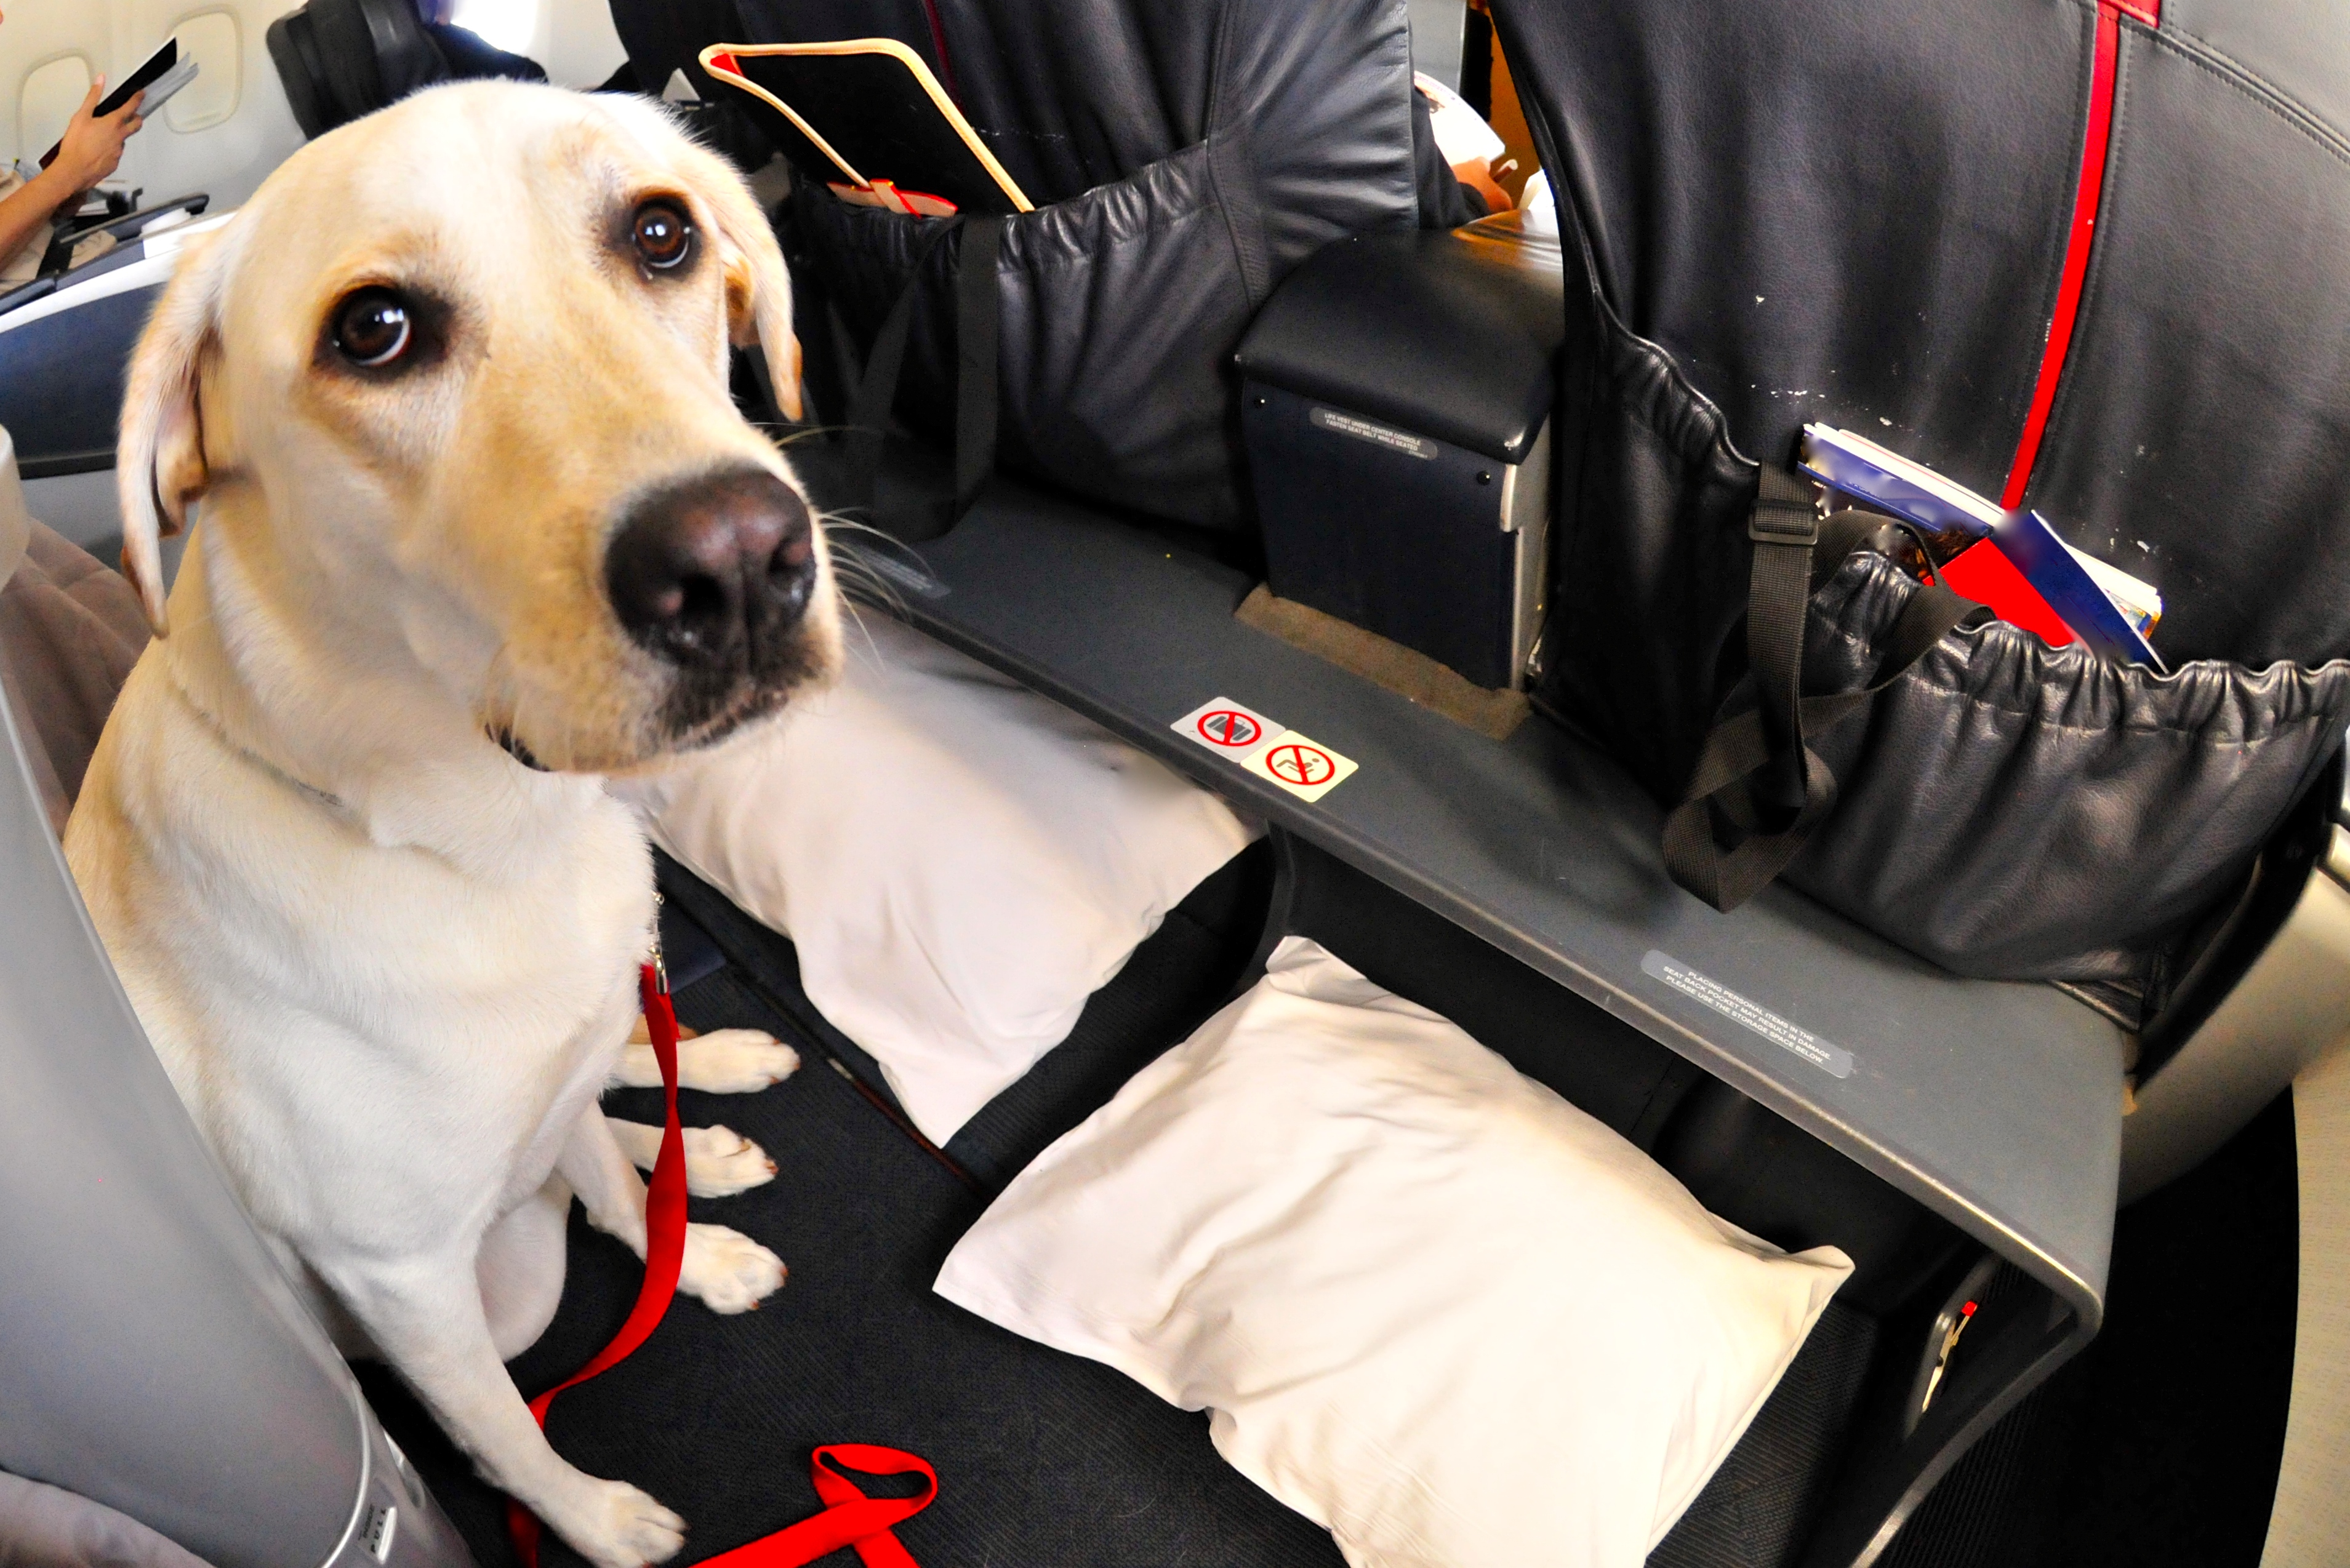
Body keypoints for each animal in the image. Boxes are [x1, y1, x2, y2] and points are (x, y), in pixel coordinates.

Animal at [64, 82, 846, 1561]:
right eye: (374, 330)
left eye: (661, 233)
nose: (738, 562)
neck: (478, 837)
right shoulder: (407, 1281)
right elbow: (501, 1430)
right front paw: (593, 1517)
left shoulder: (563, 1055)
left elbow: (617, 1187)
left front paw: (695, 1253)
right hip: (501, 1287)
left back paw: (707, 1108)